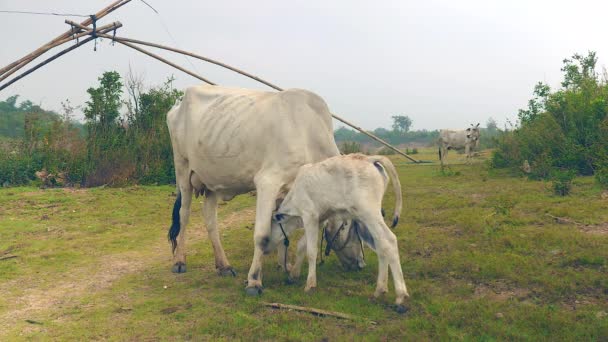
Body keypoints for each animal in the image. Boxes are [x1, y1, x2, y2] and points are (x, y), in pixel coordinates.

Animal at [270, 154, 408, 312]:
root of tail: (368, 158)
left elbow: (311, 252)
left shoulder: (310, 216)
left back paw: (400, 295)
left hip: (369, 214)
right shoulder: (319, 220)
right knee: (380, 244)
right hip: (367, 217)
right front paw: (294, 274)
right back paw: (380, 289)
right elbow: (301, 245)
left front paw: (310, 284)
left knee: (389, 240)